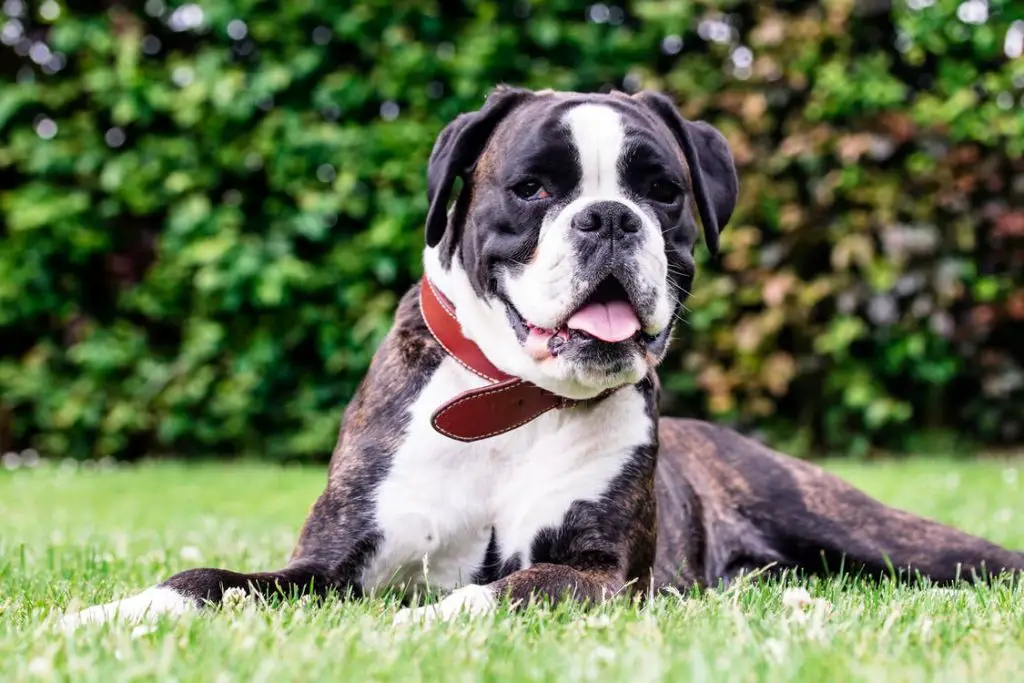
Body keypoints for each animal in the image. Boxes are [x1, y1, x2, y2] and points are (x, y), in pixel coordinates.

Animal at [61, 88, 1024, 626]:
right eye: (531, 188)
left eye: (661, 191)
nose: (609, 217)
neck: (506, 399)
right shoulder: (326, 568)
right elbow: (207, 579)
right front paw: (111, 613)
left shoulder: (597, 573)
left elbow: (495, 591)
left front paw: (413, 630)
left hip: (878, 533)